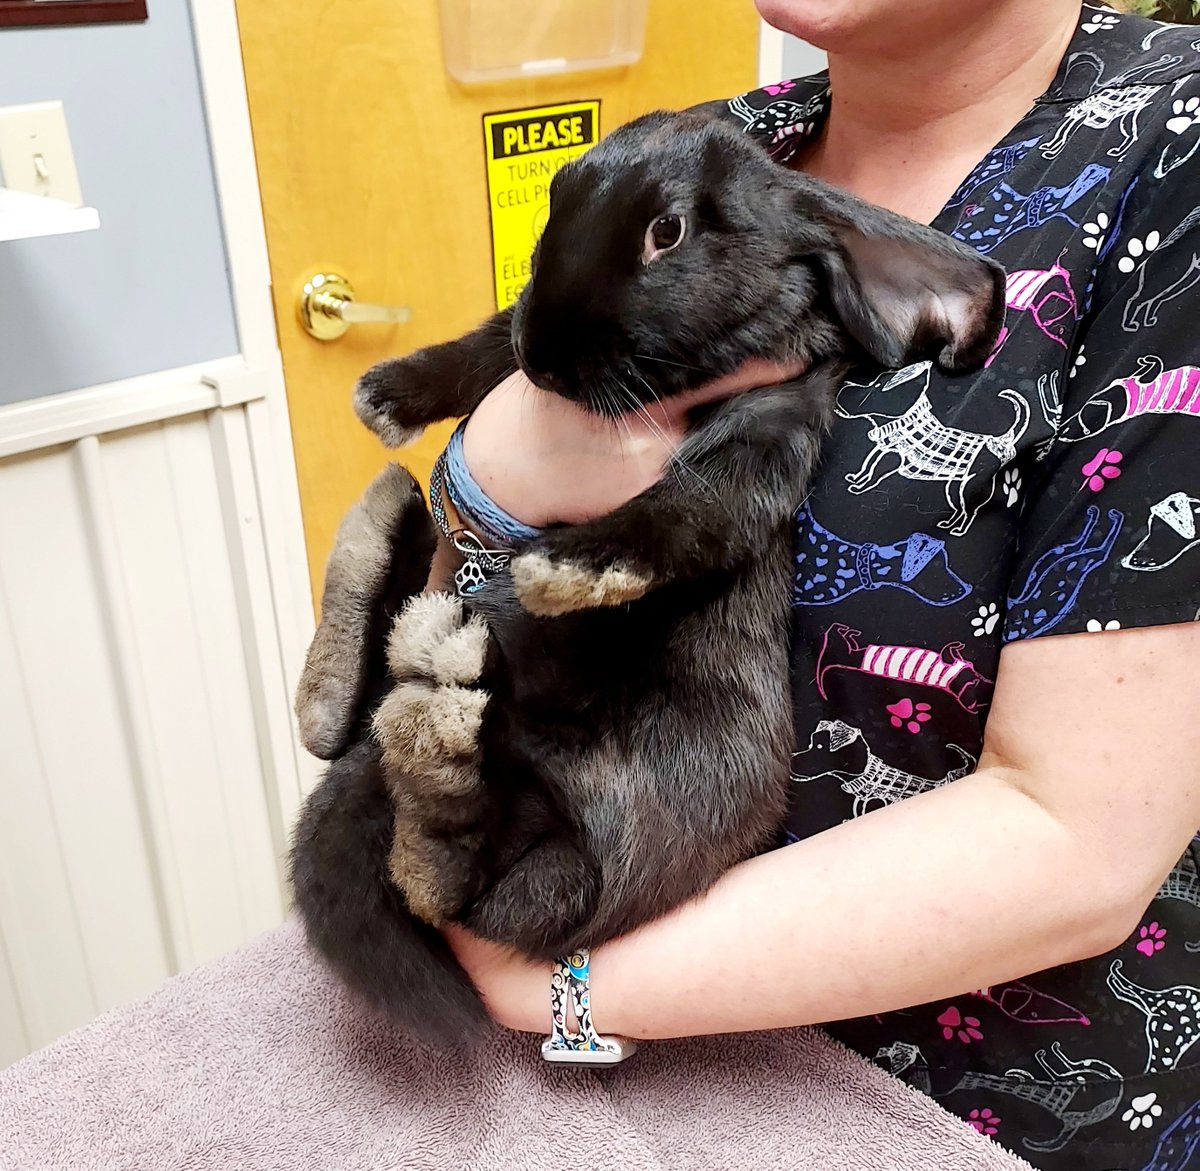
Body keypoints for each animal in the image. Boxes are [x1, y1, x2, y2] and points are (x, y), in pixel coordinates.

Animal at [289, 108, 1006, 1046]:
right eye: (556, 197)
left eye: (668, 231)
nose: (547, 358)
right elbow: (485, 344)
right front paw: (389, 392)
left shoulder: (772, 433)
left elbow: (690, 515)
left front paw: (566, 568)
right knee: (361, 735)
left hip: (584, 855)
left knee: (463, 886)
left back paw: (437, 753)